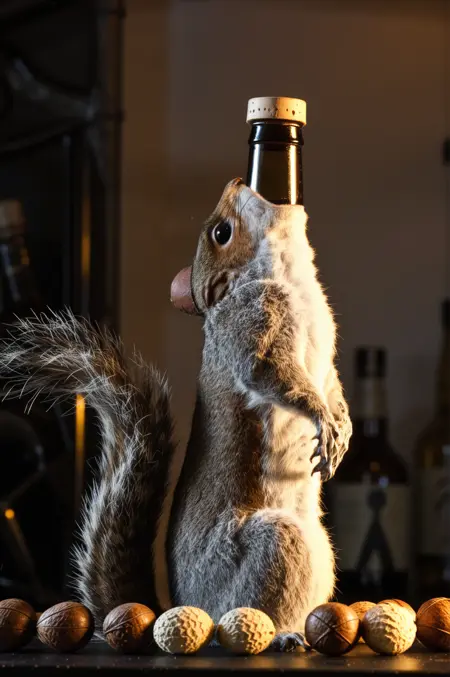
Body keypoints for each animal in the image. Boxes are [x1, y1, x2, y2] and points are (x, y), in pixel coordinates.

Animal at [0, 177, 352, 651]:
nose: (236, 182)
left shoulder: (326, 357)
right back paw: (280, 636)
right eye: (221, 233)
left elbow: (331, 386)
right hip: (272, 546)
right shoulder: (251, 325)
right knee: (237, 622)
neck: (289, 277)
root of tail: (186, 604)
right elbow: (273, 376)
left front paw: (342, 427)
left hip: (319, 548)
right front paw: (321, 420)